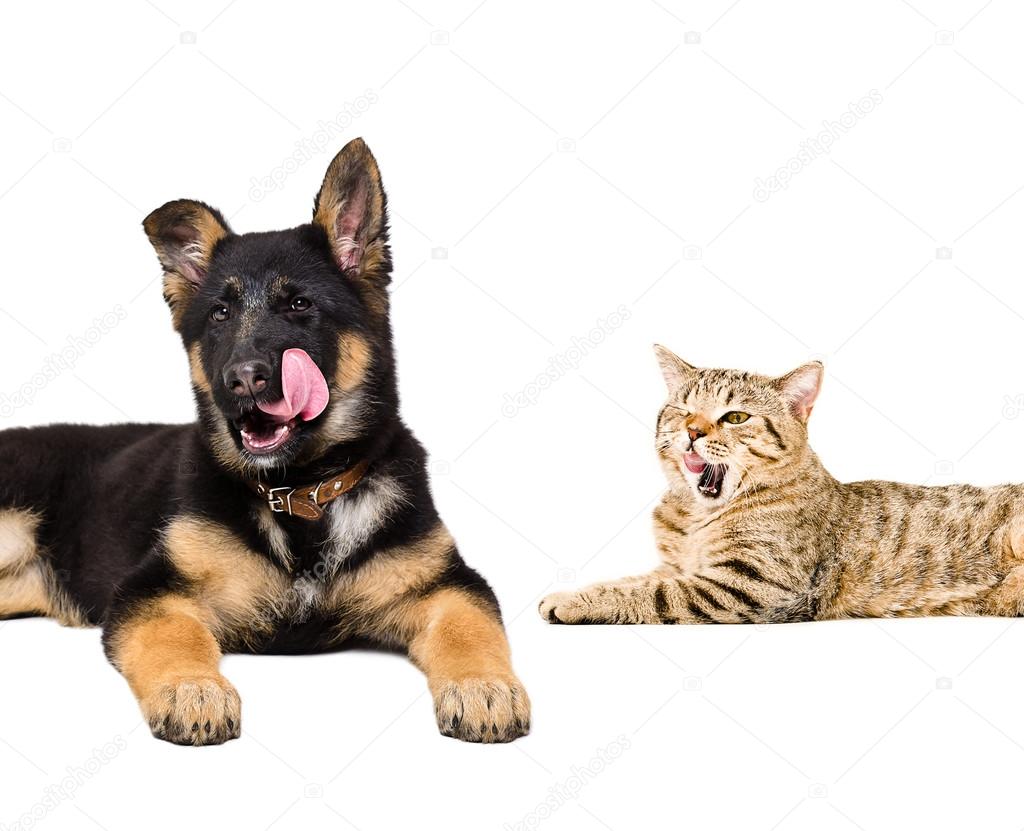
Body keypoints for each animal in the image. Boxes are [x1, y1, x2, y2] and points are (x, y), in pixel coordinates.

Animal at [0, 138, 528, 745]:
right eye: (220, 314)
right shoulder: (153, 591)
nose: (243, 380)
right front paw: (193, 689)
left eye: (299, 306)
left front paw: (483, 686)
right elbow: (174, 636)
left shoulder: (448, 585)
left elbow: (469, 628)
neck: (300, 492)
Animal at [536, 343, 1024, 622]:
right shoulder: (677, 565)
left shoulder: (755, 583)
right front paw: (577, 591)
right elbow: (627, 580)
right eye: (683, 408)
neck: (696, 518)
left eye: (735, 417)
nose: (692, 431)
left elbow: (654, 594)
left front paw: (575, 604)